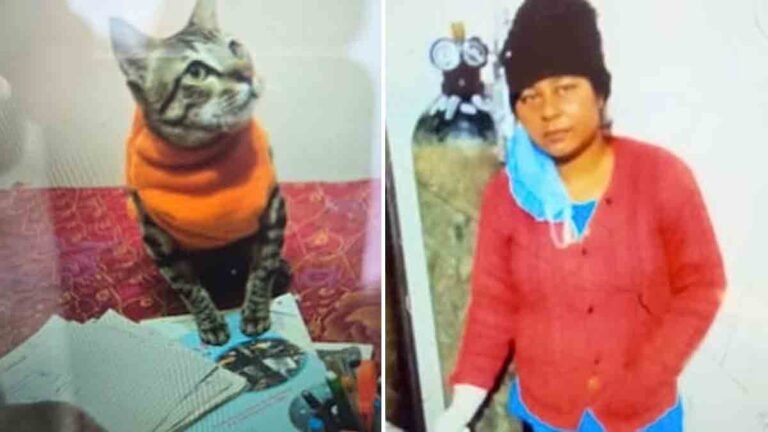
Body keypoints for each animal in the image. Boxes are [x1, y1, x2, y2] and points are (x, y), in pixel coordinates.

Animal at [107, 0, 288, 344]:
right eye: (196, 72)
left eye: (234, 46)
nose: (247, 73)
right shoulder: (156, 235)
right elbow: (189, 287)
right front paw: (210, 321)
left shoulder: (273, 210)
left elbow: (262, 270)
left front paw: (256, 311)